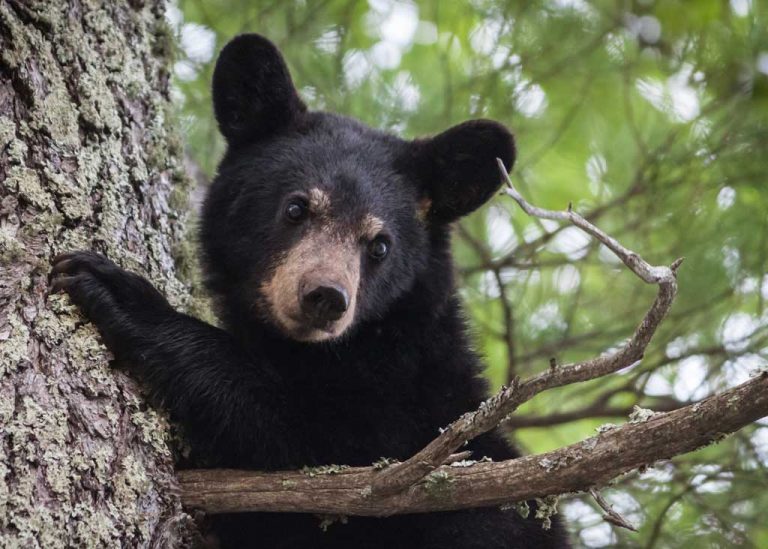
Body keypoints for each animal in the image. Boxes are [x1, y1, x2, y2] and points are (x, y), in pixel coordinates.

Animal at [49, 34, 569, 548]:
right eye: (297, 208)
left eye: (380, 245)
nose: (326, 297)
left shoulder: (401, 428)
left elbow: (300, 436)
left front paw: (122, 294)